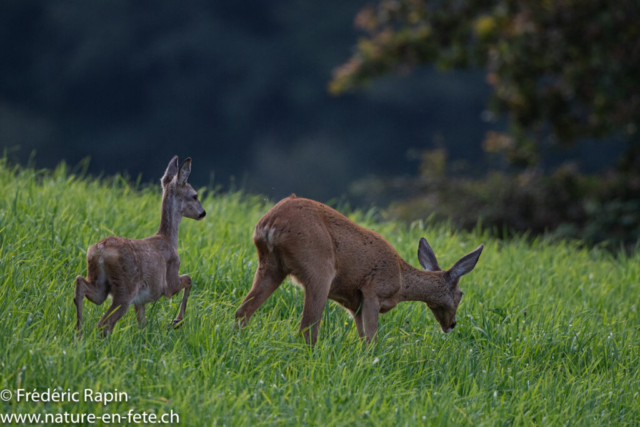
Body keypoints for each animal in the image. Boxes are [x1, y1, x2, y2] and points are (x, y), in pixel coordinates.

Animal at [74, 155, 206, 336]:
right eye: (194, 195)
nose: (203, 213)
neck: (169, 240)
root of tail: (100, 251)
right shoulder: (170, 281)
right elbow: (188, 279)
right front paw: (177, 321)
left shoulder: (140, 301)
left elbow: (141, 325)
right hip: (126, 287)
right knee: (104, 323)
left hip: (100, 283)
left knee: (81, 283)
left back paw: (78, 331)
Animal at [236, 196, 484, 346]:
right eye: (460, 294)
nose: (452, 325)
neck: (401, 282)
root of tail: (270, 224)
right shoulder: (373, 291)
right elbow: (372, 339)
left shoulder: (354, 305)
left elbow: (362, 338)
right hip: (319, 269)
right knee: (307, 329)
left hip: (270, 267)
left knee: (242, 312)